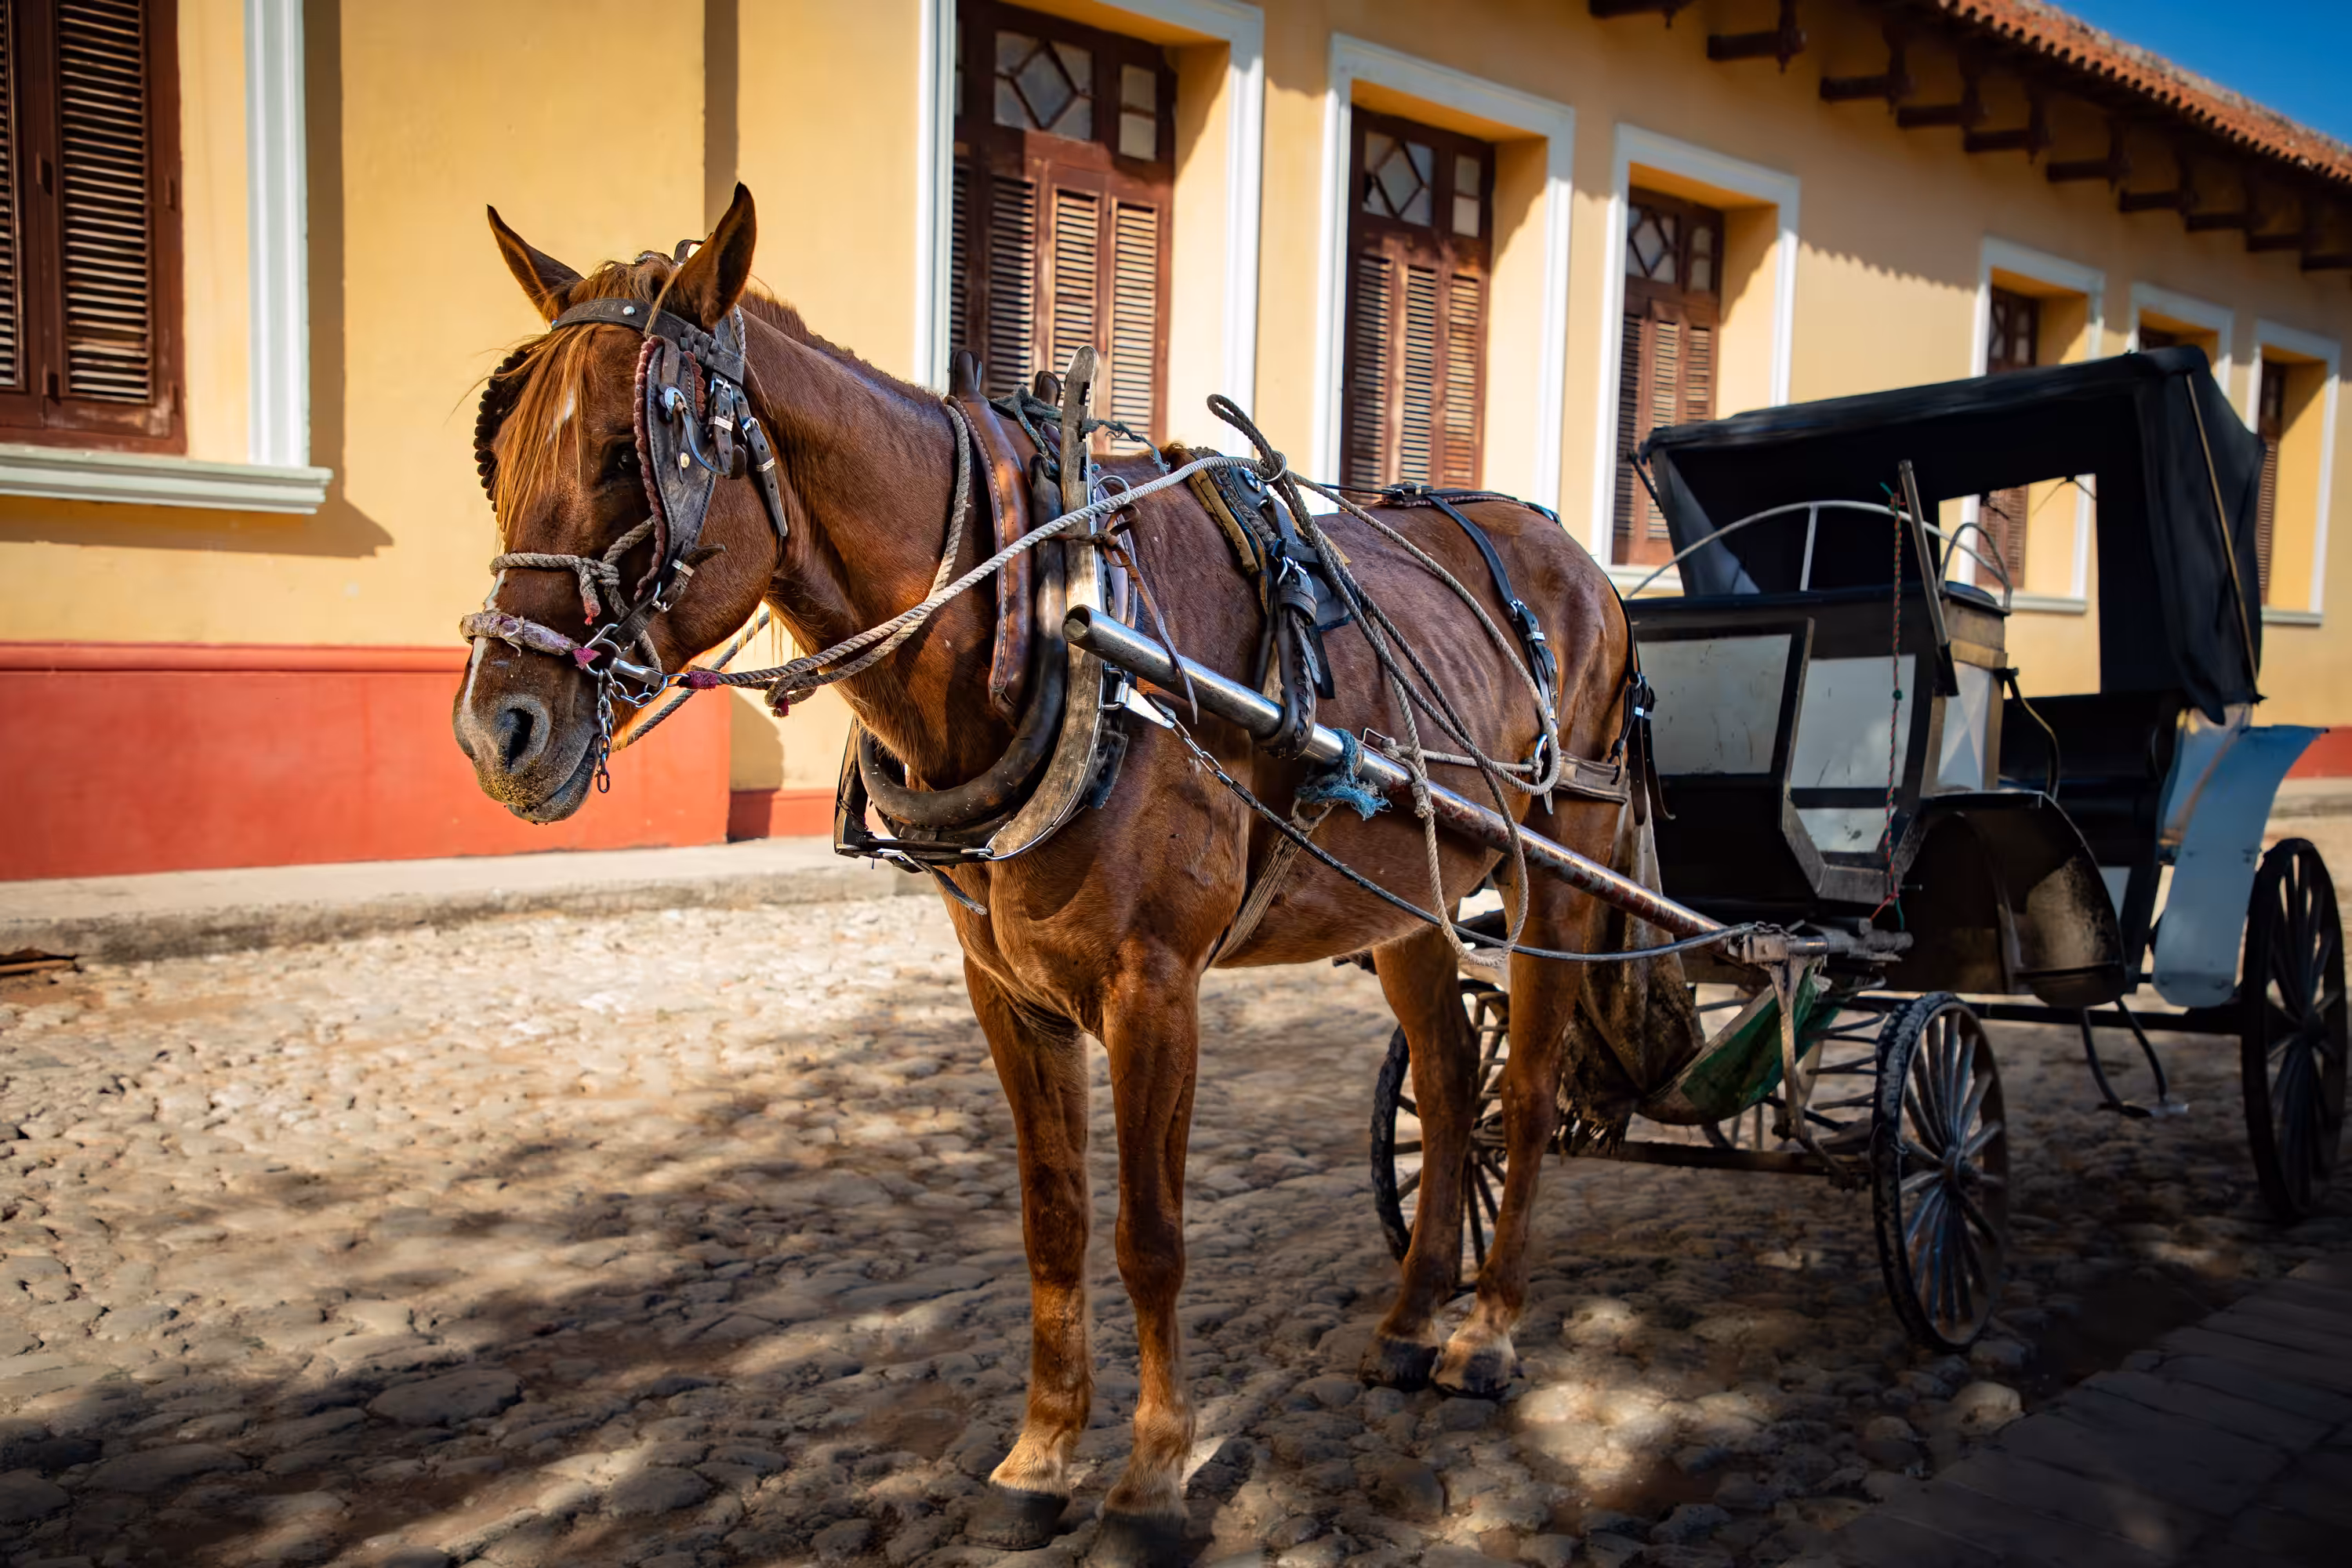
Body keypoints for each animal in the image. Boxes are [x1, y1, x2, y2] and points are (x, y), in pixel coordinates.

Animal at [453, 185, 1650, 1566]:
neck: (1052, 617)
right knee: (1453, 1085)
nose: (495, 731)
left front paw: (1154, 1476)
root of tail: (1578, 560)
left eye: (621, 455)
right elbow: (1054, 1220)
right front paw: (1040, 1457)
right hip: (1407, 897)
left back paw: (1489, 1331)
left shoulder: (1155, 987)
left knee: (1528, 1091)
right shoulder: (1007, 990)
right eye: (499, 459)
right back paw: (1409, 1322)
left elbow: (1150, 1236)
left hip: (1565, 872)